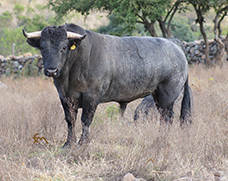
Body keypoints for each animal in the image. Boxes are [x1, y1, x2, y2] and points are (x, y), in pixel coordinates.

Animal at [22, 23, 191, 147]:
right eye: (42, 47)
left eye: (63, 47)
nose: (51, 70)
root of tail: (175, 45)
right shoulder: (65, 97)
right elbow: (70, 120)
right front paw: (68, 144)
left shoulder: (91, 96)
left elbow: (85, 120)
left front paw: (82, 143)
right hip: (157, 95)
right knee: (164, 117)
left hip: (168, 96)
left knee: (167, 118)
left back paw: (161, 141)